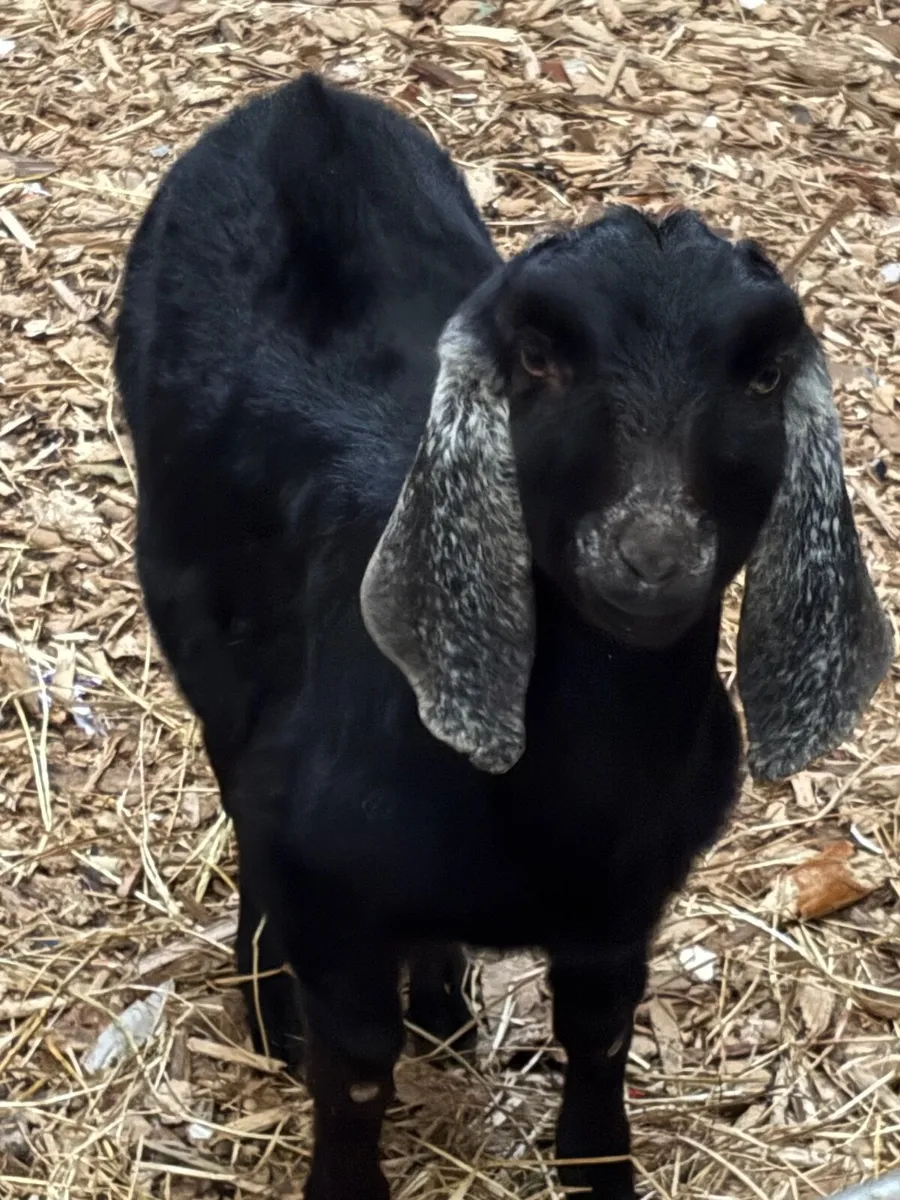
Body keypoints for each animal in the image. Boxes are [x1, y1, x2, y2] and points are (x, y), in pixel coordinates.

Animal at [115, 74, 892, 1200]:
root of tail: (303, 100)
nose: (652, 554)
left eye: (760, 375)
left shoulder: (624, 906)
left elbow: (601, 1037)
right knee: (233, 784)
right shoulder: (329, 880)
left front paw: (601, 1173)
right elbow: (356, 1064)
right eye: (536, 358)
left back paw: (442, 1004)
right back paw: (271, 1006)